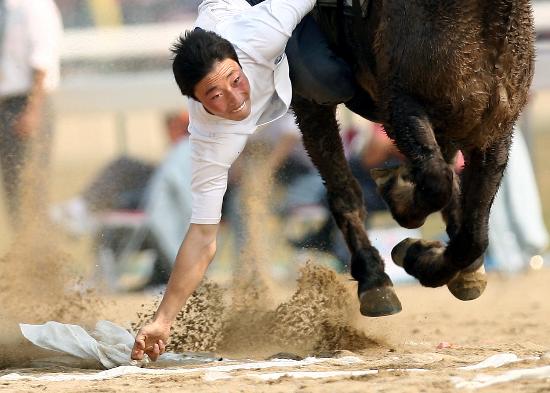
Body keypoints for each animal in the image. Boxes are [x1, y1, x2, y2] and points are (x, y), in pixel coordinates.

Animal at [294, 0, 540, 314]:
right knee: (344, 193)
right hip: (311, 99)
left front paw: (424, 257)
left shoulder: (494, 131)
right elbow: (437, 183)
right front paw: (402, 207)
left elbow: (473, 234)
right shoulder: (402, 104)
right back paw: (374, 279)